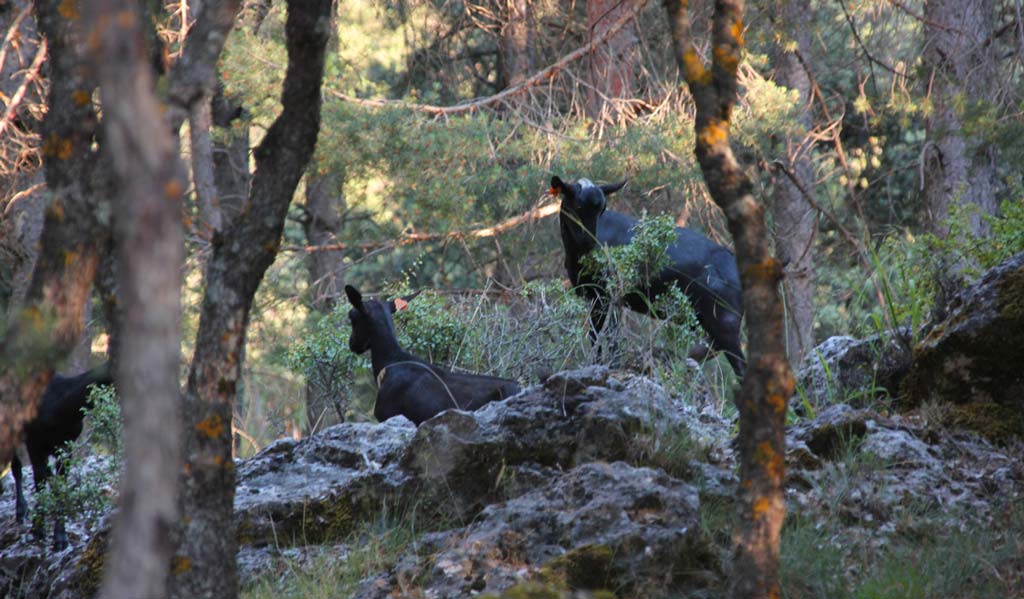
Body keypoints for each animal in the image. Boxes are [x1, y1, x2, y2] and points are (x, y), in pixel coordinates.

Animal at [4, 360, 113, 552]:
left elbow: (60, 484)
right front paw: (38, 529)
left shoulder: (67, 445)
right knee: (17, 466)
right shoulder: (34, 441)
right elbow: (40, 480)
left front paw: (60, 538)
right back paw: (21, 510)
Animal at [552, 175, 745, 376]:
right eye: (578, 205)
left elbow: (608, 337)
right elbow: (597, 335)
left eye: (602, 209)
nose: (590, 241)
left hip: (726, 322)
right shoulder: (595, 297)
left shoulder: (610, 297)